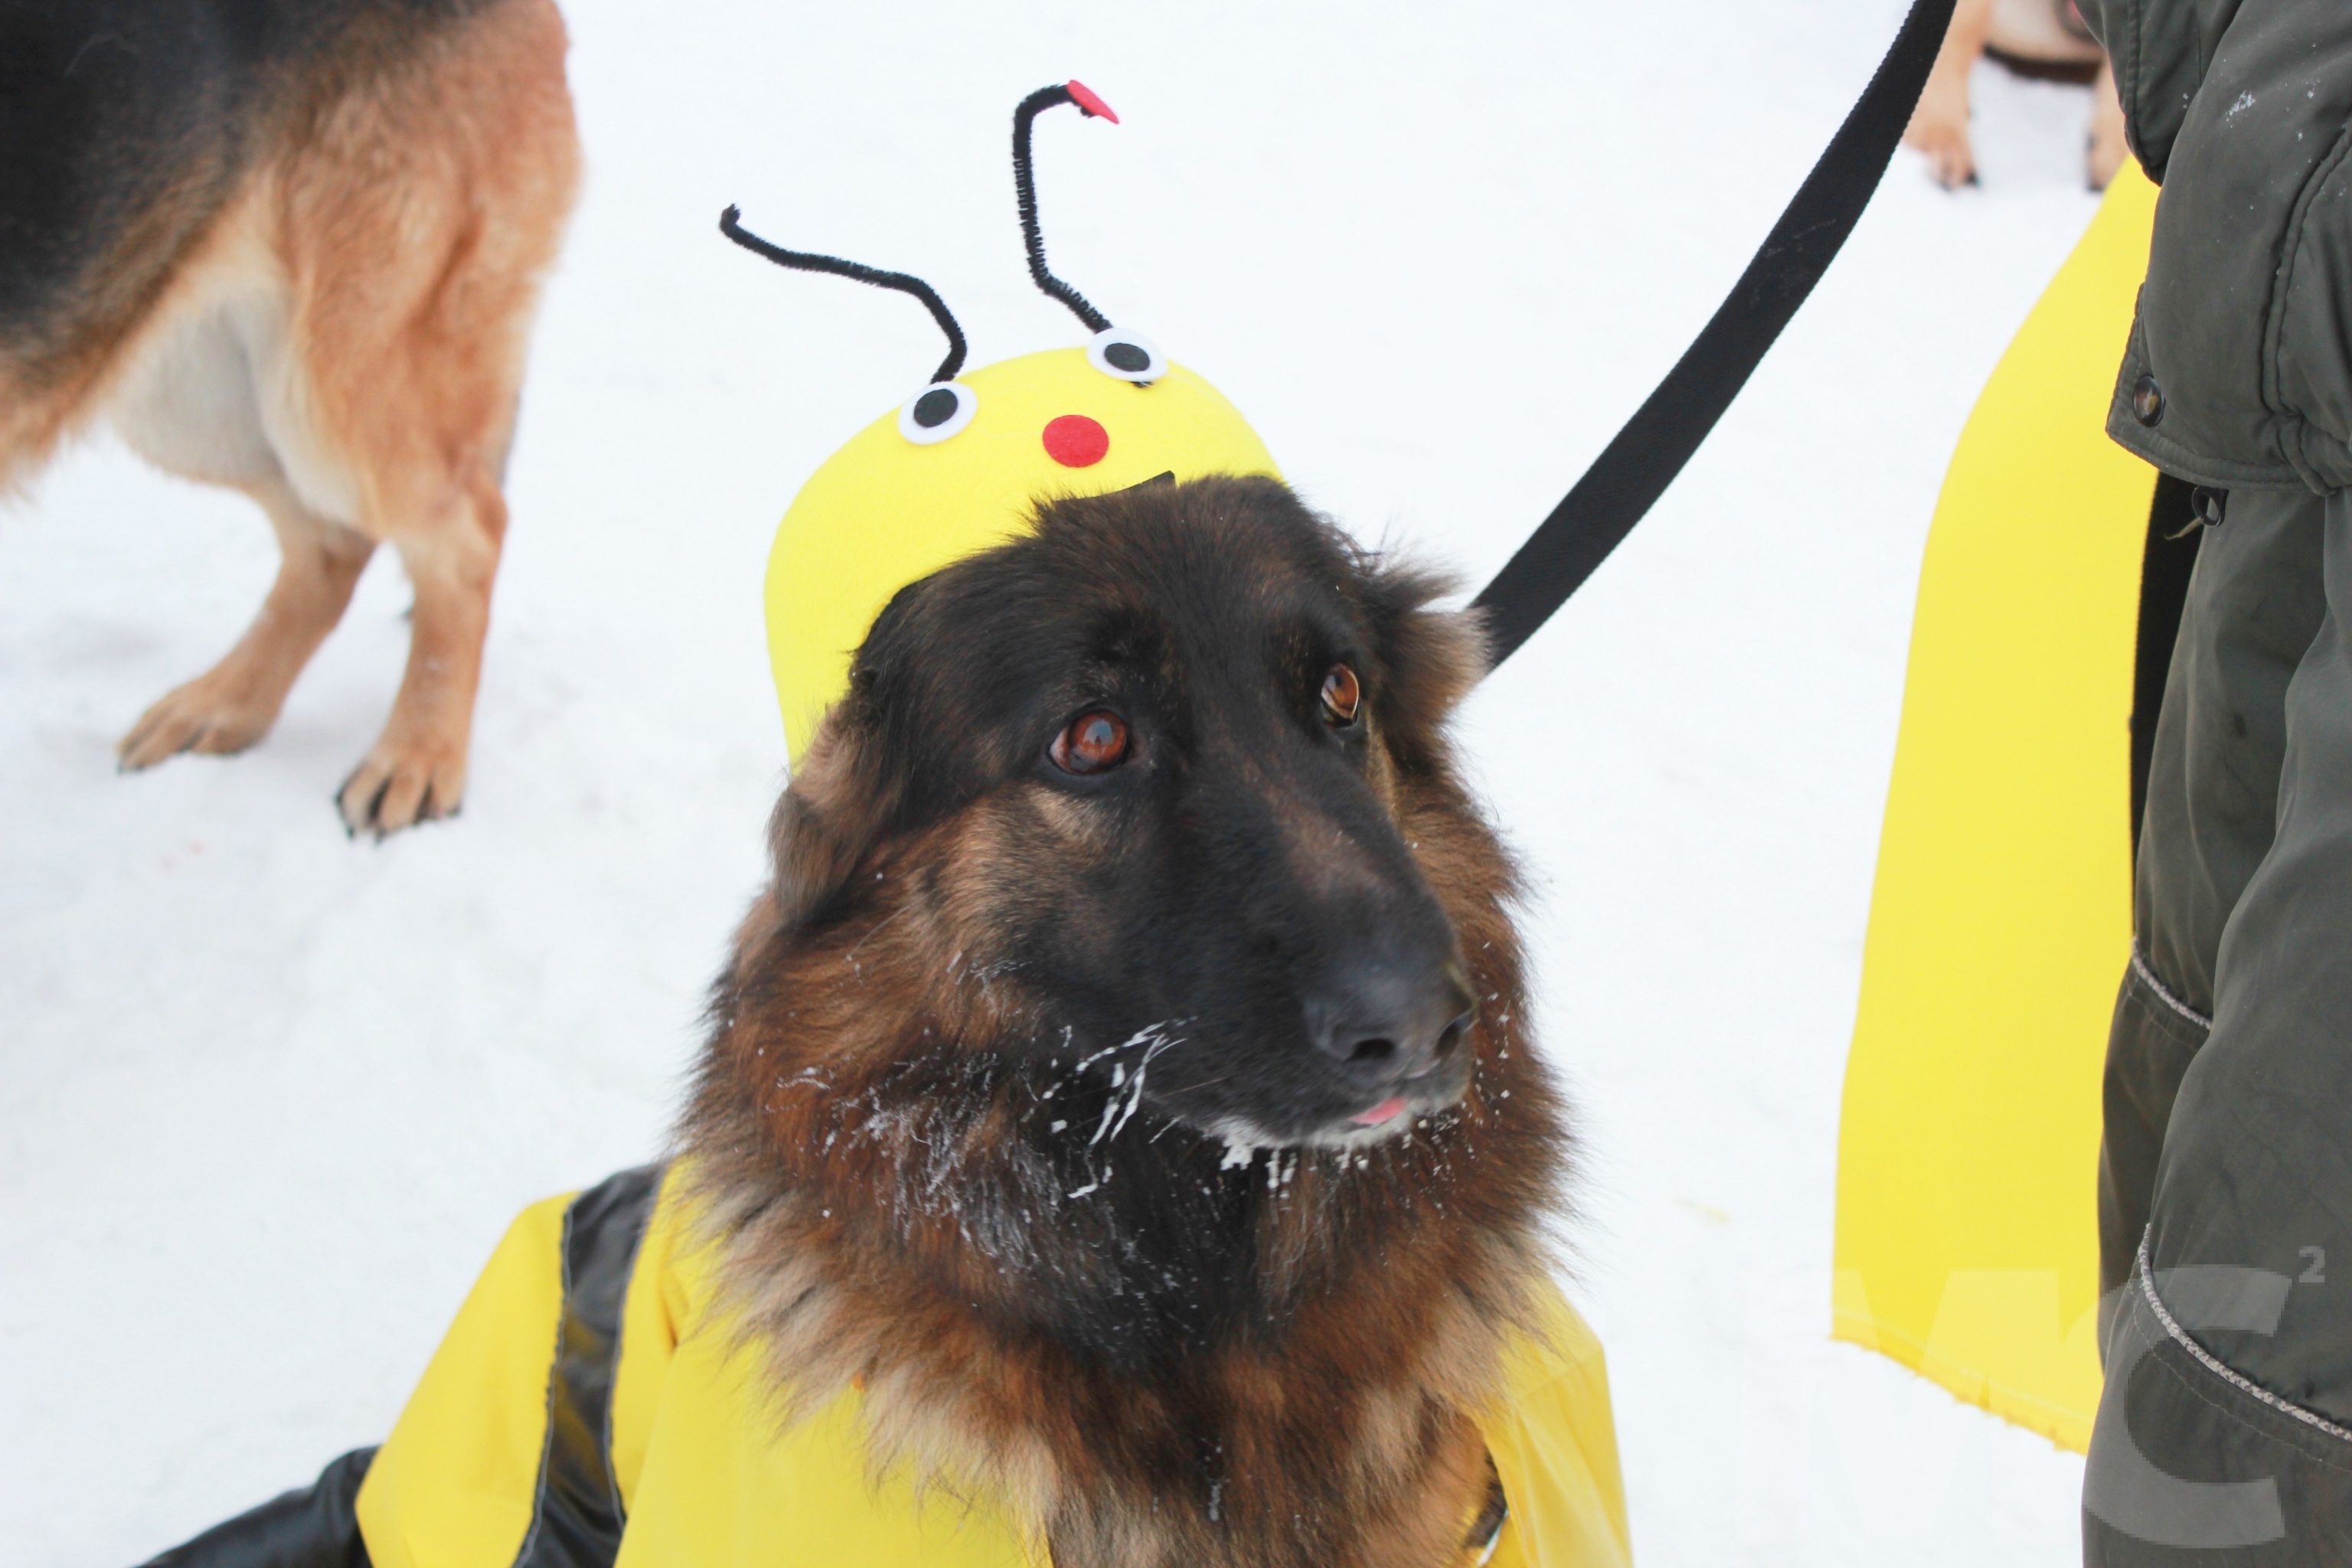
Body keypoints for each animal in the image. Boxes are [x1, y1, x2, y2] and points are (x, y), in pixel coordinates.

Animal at [0, 0, 578, 841]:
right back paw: (227, 703)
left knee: (468, 530)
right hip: (174, 374)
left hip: (334, 385)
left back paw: (417, 755)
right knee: (332, 544)